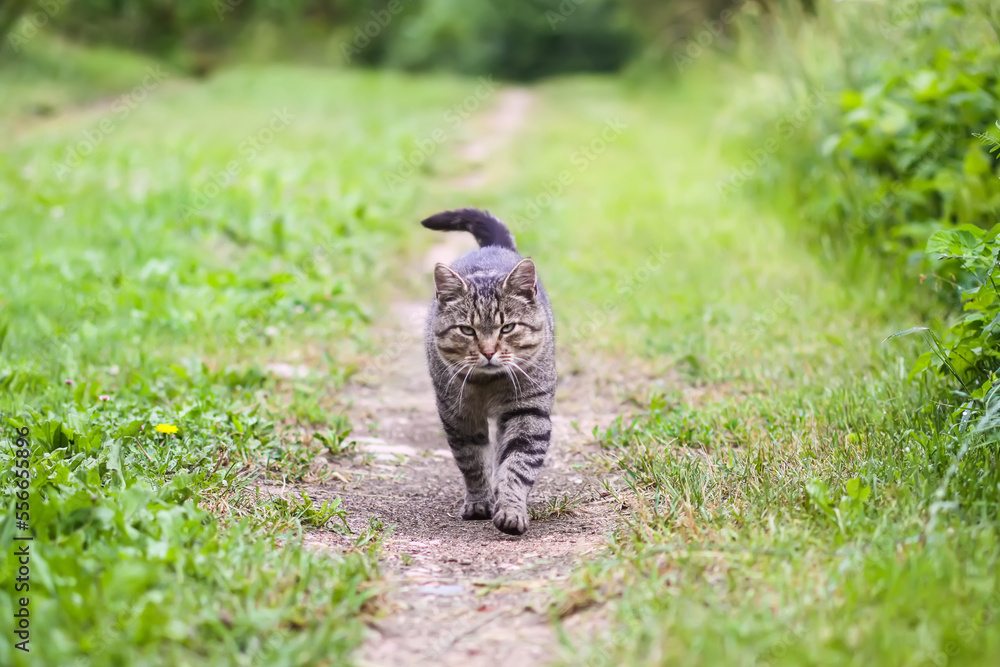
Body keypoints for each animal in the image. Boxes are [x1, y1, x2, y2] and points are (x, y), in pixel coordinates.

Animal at [420, 209, 556, 536]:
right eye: (467, 330)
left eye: (507, 327)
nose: (489, 351)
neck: (489, 384)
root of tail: (494, 247)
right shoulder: (458, 414)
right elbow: (473, 462)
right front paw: (480, 502)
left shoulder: (529, 412)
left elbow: (516, 466)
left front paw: (510, 509)